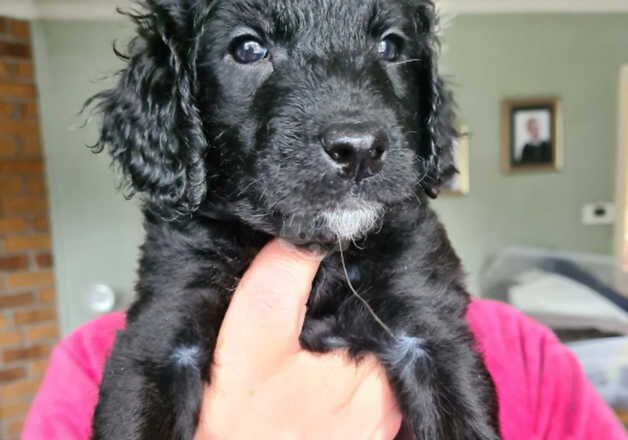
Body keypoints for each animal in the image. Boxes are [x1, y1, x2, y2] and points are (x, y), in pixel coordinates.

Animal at [88, 0, 500, 440]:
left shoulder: (430, 328)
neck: (324, 257)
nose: (358, 150)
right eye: (248, 48)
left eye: (390, 46)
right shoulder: (160, 333)